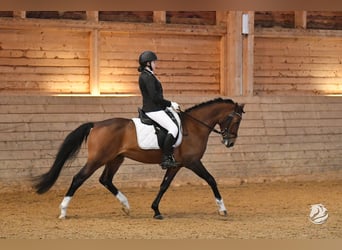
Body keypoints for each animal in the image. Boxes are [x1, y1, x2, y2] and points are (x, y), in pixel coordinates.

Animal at [34, 97, 243, 219]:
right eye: (236, 120)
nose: (230, 142)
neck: (194, 127)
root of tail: (96, 124)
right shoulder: (192, 162)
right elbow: (211, 179)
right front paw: (222, 208)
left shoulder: (176, 165)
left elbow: (164, 186)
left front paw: (156, 210)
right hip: (98, 159)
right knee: (79, 178)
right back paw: (63, 210)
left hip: (115, 159)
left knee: (105, 180)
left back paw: (126, 206)